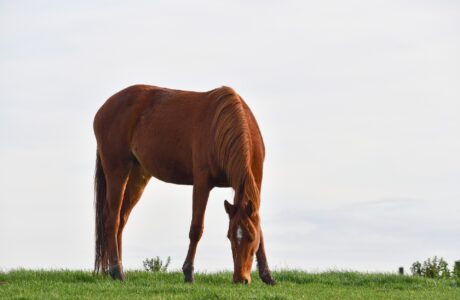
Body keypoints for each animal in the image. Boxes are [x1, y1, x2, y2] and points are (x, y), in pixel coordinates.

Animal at [91, 84, 274, 284]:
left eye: (250, 237)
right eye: (229, 236)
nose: (240, 279)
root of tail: (104, 108)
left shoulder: (256, 185)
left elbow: (260, 229)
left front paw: (267, 275)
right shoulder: (202, 183)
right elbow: (196, 229)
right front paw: (188, 272)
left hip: (137, 175)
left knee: (122, 219)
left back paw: (118, 269)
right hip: (117, 170)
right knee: (112, 219)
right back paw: (117, 270)